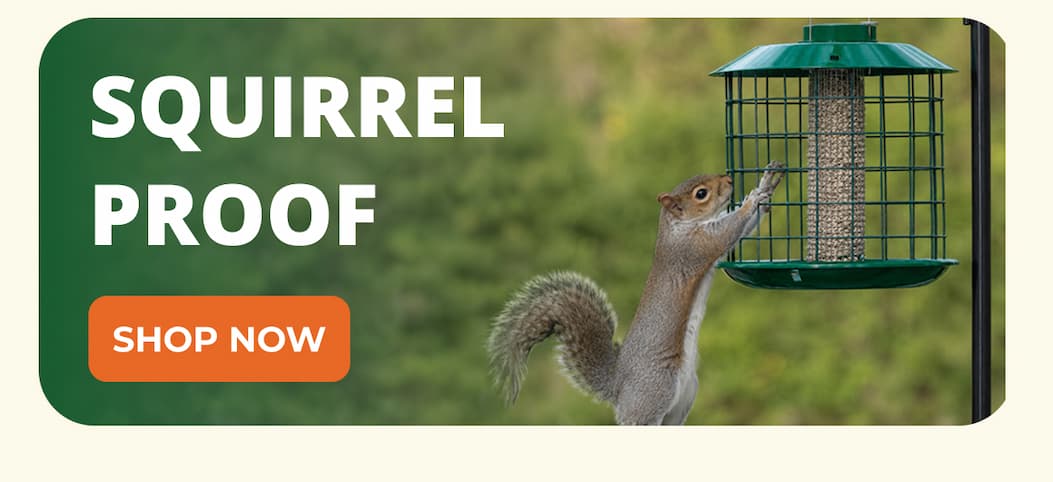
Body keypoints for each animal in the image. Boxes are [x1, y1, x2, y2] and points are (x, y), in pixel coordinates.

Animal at [487, 160, 785, 425]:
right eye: (701, 193)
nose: (730, 181)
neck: (676, 228)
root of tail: (617, 386)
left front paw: (767, 188)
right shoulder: (694, 248)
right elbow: (730, 229)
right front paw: (757, 194)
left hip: (683, 400)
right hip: (653, 393)